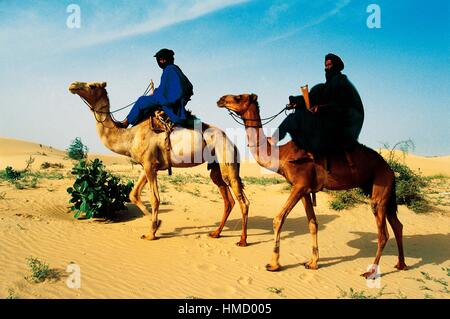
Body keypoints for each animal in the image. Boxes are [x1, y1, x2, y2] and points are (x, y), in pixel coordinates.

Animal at [68, 81, 250, 246]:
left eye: (92, 86)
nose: (73, 85)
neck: (129, 137)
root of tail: (231, 142)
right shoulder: (147, 165)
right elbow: (133, 194)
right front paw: (158, 224)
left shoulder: (149, 165)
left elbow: (155, 198)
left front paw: (151, 233)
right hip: (216, 168)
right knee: (228, 200)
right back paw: (216, 233)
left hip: (227, 159)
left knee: (242, 200)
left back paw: (242, 241)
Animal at [217, 94, 408, 278]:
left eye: (238, 97)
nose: (220, 99)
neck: (281, 154)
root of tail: (390, 170)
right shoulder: (305, 190)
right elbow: (312, 223)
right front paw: (313, 263)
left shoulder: (299, 185)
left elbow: (279, 218)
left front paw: (273, 264)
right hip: (383, 191)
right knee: (397, 225)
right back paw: (401, 264)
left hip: (380, 187)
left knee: (383, 234)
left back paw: (371, 272)